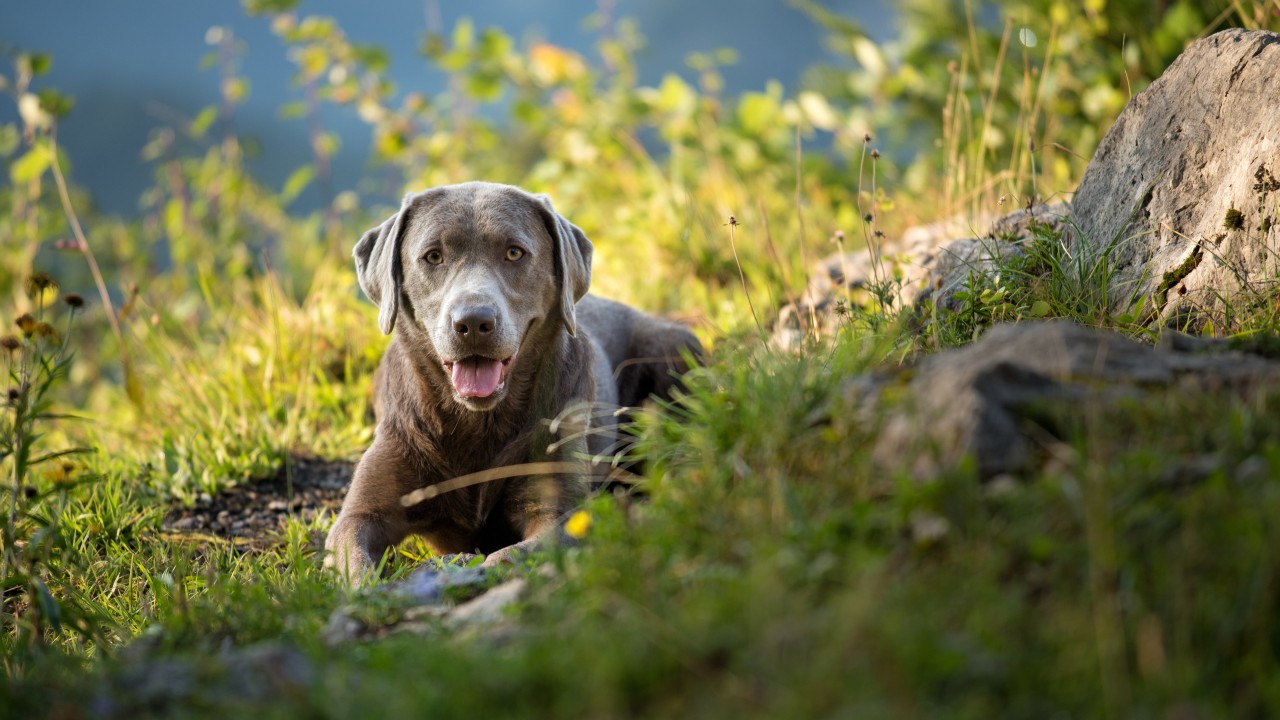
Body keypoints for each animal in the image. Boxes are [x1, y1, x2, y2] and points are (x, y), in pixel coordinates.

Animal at [320, 181, 701, 579]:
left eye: (514, 252)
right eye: (433, 256)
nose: (473, 322)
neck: (476, 424)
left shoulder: (558, 510)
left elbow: (516, 552)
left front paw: (477, 565)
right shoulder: (361, 512)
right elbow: (356, 562)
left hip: (674, 346)